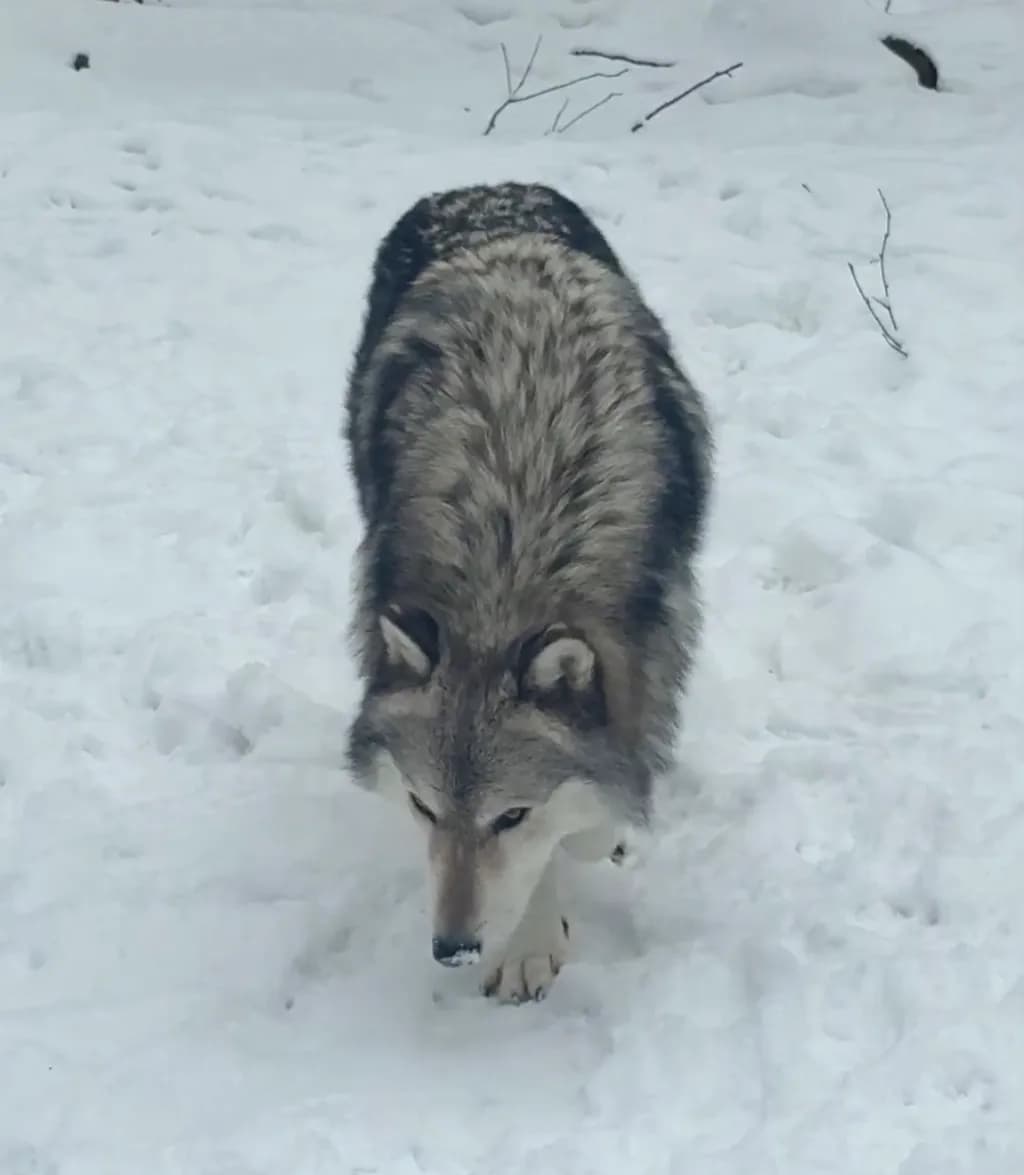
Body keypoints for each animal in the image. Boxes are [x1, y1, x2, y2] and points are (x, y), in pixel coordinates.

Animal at [343, 181, 712, 1003]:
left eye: (509, 815)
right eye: (423, 806)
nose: (451, 947)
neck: (509, 551)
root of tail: (482, 189)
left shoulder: (652, 641)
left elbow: (590, 806)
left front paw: (598, 835)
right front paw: (529, 943)